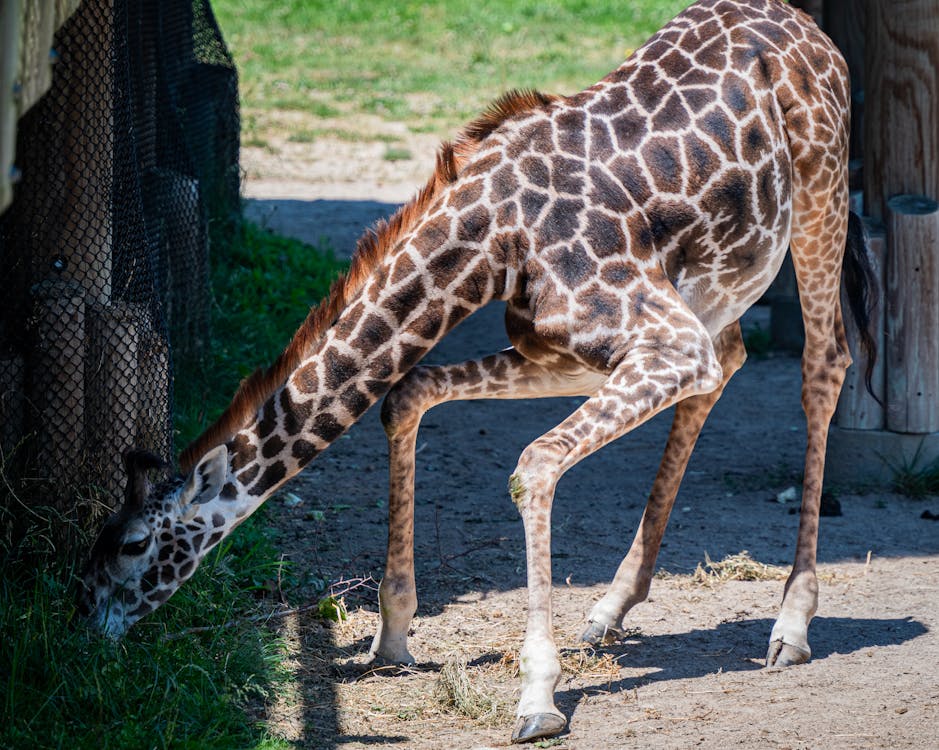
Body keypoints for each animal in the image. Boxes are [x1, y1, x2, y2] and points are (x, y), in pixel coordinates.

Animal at [77, 0, 876, 740]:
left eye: (134, 545)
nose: (86, 628)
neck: (492, 240)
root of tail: (807, 25)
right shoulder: (566, 352)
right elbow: (406, 394)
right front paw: (392, 637)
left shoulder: (665, 343)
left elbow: (534, 465)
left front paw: (537, 699)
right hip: (714, 289)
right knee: (731, 360)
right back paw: (612, 606)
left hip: (821, 193)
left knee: (823, 364)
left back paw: (791, 625)